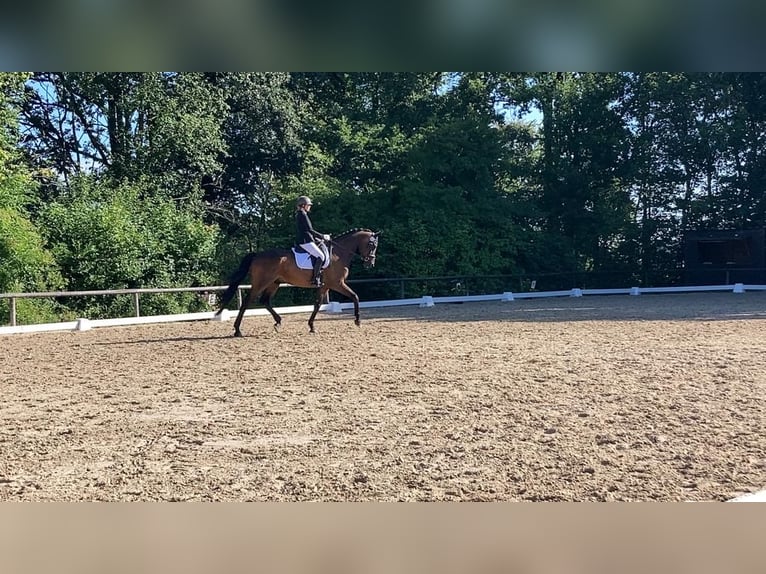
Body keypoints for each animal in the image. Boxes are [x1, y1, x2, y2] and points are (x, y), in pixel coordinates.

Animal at [214, 230, 382, 338]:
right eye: (372, 245)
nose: (370, 263)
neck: (338, 254)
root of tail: (257, 255)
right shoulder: (337, 283)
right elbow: (355, 296)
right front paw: (358, 321)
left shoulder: (324, 286)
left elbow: (317, 304)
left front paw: (312, 326)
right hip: (261, 283)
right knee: (247, 302)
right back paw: (237, 330)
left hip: (274, 283)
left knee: (265, 301)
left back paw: (278, 322)